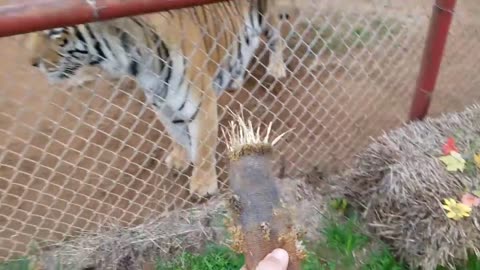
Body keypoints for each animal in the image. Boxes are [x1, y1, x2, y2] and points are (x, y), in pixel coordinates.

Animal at [26, 0, 296, 198]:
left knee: (275, 35)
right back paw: (235, 79)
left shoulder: (201, 102)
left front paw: (203, 184)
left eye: (56, 35)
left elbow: (203, 145)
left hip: (267, 15)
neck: (135, 62)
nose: (33, 63)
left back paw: (276, 67)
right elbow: (175, 132)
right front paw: (180, 158)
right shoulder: (161, 101)